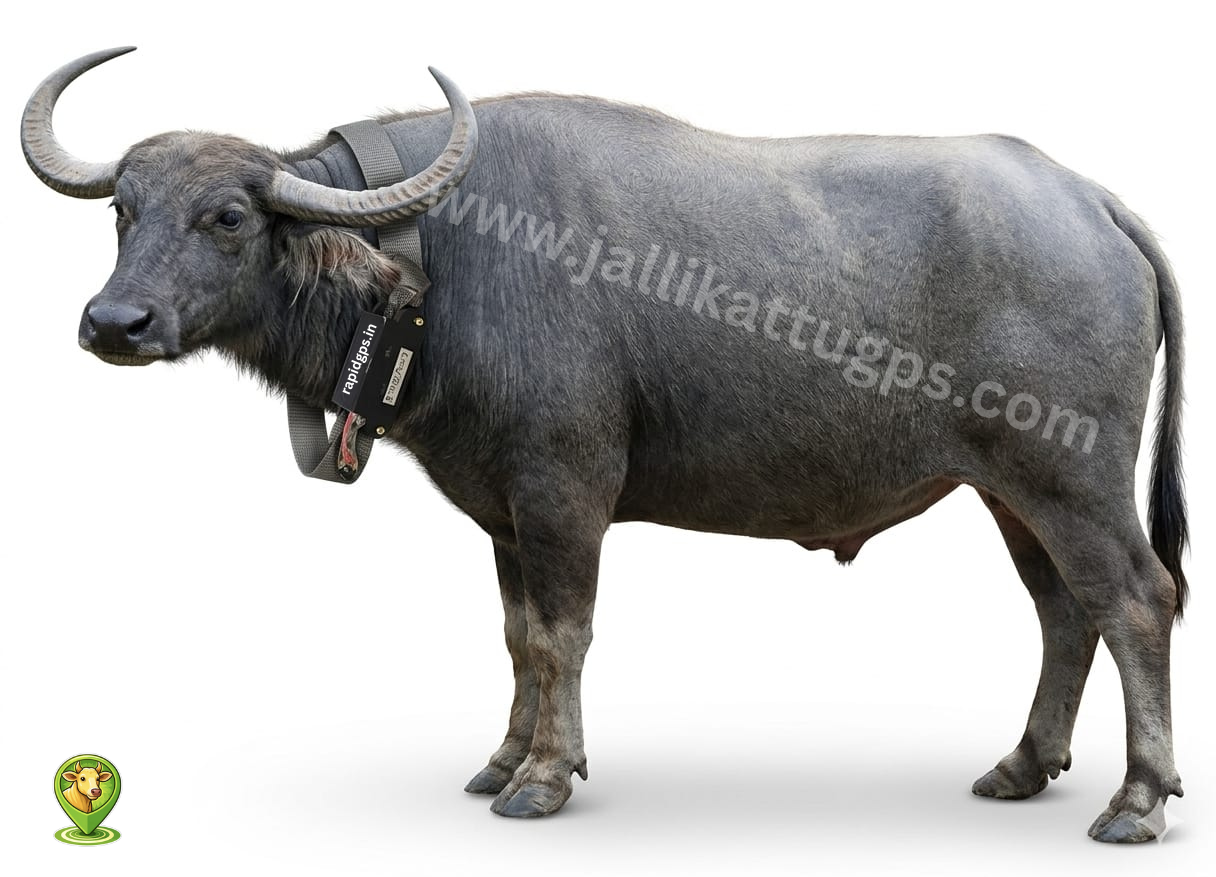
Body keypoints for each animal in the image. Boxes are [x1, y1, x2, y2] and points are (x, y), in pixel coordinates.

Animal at [22, 47, 1187, 842]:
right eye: (123, 211)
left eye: (227, 216)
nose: (113, 323)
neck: (438, 261)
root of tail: (1090, 200)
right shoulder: (500, 510)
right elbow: (516, 634)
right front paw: (502, 758)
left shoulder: (565, 490)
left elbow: (565, 634)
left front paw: (545, 776)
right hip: (1007, 489)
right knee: (1062, 611)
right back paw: (1024, 765)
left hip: (1070, 476)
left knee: (1135, 599)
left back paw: (1136, 799)